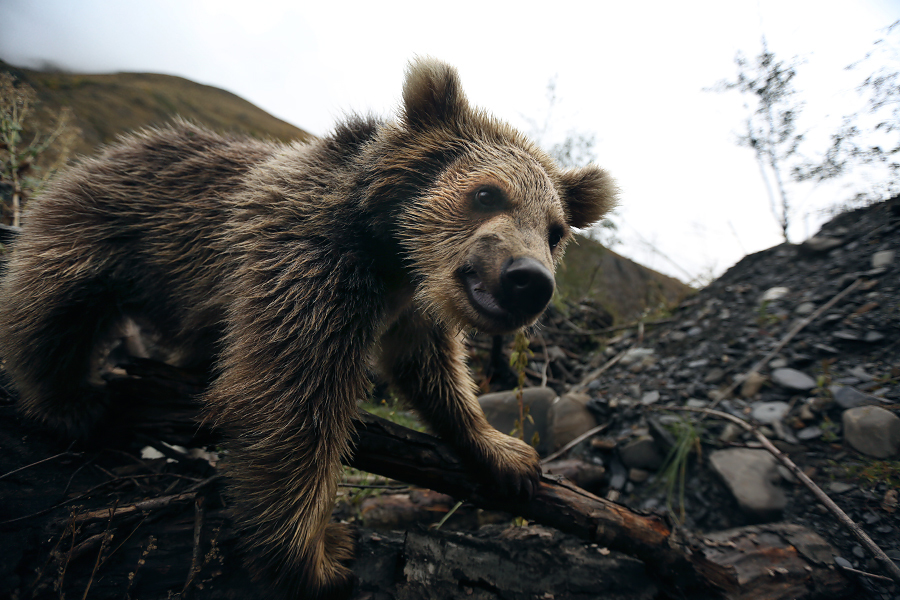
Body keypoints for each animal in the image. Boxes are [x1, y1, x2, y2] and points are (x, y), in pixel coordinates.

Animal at [0, 58, 620, 596]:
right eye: (487, 193)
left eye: (556, 230)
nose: (528, 279)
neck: (391, 252)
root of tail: (122, 145)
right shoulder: (308, 266)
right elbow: (289, 404)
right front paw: (317, 556)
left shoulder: (410, 305)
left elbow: (431, 370)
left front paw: (506, 453)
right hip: (108, 226)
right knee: (49, 302)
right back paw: (67, 400)